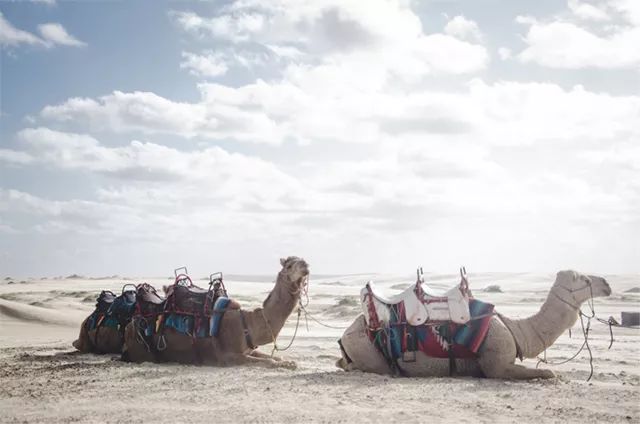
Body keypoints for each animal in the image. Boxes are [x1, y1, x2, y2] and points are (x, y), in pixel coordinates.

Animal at [123, 255, 310, 368]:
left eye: (302, 260)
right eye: (289, 265)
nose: (306, 265)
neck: (247, 323)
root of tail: (129, 326)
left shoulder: (248, 350)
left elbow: (275, 357)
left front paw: (288, 361)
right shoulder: (228, 356)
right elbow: (270, 361)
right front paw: (288, 364)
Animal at [338, 270, 612, 380]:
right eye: (584, 279)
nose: (607, 284)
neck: (517, 331)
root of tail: (345, 333)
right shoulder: (496, 365)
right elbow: (547, 373)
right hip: (366, 349)